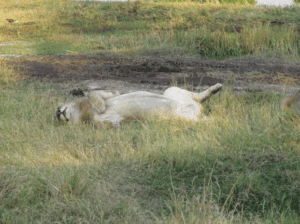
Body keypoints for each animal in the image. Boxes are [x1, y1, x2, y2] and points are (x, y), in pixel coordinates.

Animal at [55, 83, 223, 127]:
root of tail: (198, 110)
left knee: (198, 97)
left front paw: (100, 106)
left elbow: (93, 93)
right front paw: (113, 124)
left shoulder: (112, 94)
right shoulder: (103, 120)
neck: (84, 112)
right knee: (207, 120)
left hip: (170, 91)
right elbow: (108, 123)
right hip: (184, 119)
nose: (57, 113)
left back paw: (216, 87)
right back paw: (224, 121)